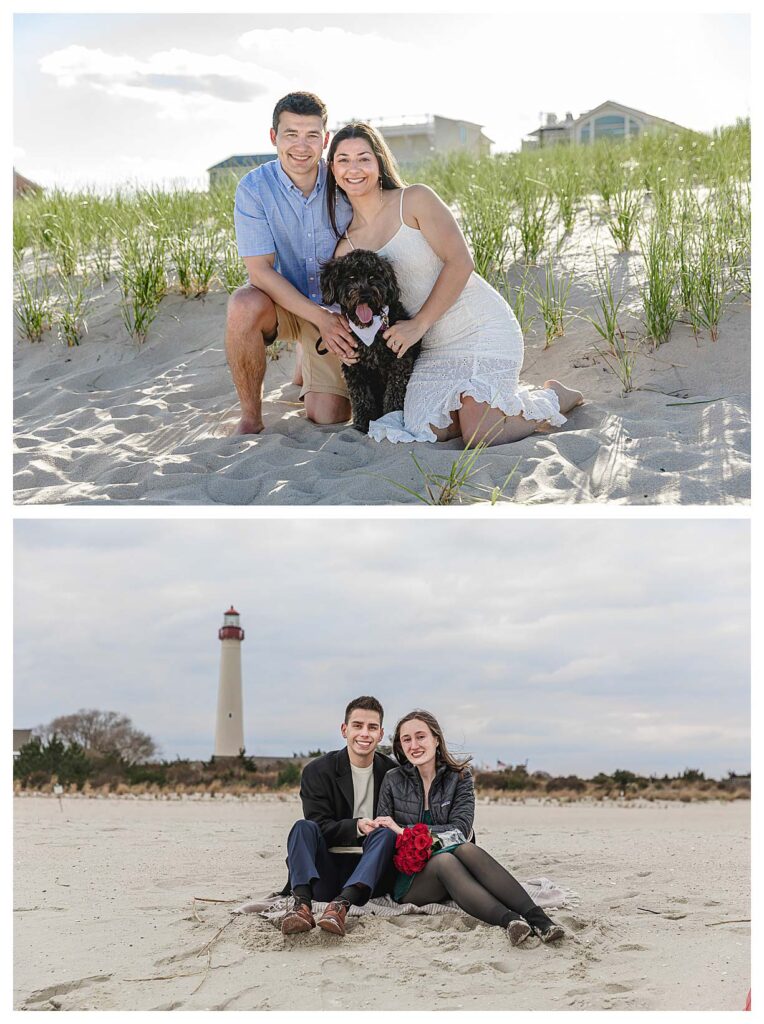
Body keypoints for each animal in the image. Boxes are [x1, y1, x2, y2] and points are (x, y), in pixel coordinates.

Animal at [317, 251, 419, 436]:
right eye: (351, 276)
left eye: (373, 276)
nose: (365, 294)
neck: (369, 332)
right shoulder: (353, 367)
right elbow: (361, 398)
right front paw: (363, 424)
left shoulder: (399, 363)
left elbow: (394, 394)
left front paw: (389, 421)